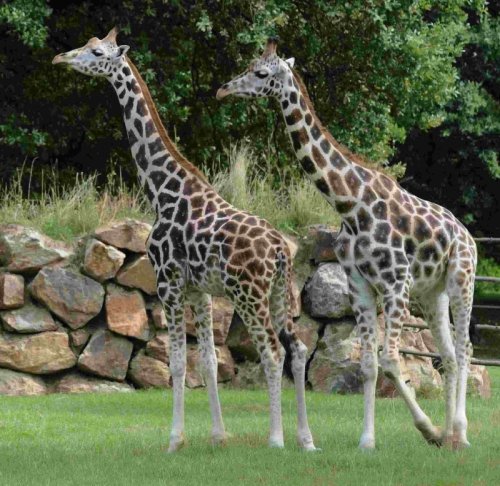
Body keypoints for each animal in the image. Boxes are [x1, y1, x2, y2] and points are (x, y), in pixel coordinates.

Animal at [51, 26, 316, 452]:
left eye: (96, 52)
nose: (61, 58)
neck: (161, 190)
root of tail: (279, 250)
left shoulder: (168, 282)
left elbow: (176, 362)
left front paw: (175, 439)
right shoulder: (200, 290)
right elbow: (208, 360)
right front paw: (218, 436)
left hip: (248, 293)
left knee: (272, 352)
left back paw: (276, 440)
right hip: (280, 293)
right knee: (299, 349)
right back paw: (306, 440)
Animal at [218, 39, 476, 452]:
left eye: (261, 73)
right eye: (250, 63)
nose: (223, 90)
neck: (350, 204)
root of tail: (466, 234)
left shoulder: (396, 283)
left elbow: (391, 360)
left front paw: (428, 430)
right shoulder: (360, 285)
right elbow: (369, 363)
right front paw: (368, 440)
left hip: (461, 279)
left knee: (465, 350)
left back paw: (461, 435)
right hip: (430, 293)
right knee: (449, 355)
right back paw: (452, 434)